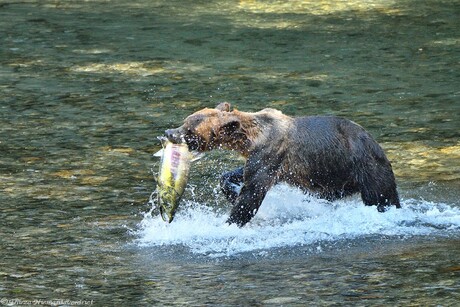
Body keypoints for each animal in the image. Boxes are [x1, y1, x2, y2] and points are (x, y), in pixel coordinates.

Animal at [164, 102, 398, 227]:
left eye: (189, 130)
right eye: (185, 121)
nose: (168, 132)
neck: (251, 139)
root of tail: (375, 143)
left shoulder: (271, 153)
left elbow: (252, 193)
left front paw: (229, 221)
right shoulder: (269, 163)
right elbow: (240, 175)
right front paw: (231, 191)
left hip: (366, 167)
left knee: (381, 197)